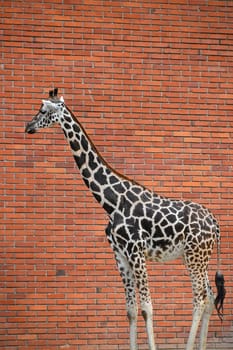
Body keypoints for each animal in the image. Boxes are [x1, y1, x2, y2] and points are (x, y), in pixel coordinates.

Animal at [24, 89, 225, 350]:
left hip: (194, 256)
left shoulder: (136, 252)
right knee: (210, 296)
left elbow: (147, 308)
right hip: (199, 257)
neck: (111, 203)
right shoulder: (119, 254)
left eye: (43, 110)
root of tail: (215, 224)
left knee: (200, 298)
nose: (28, 126)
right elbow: (130, 310)